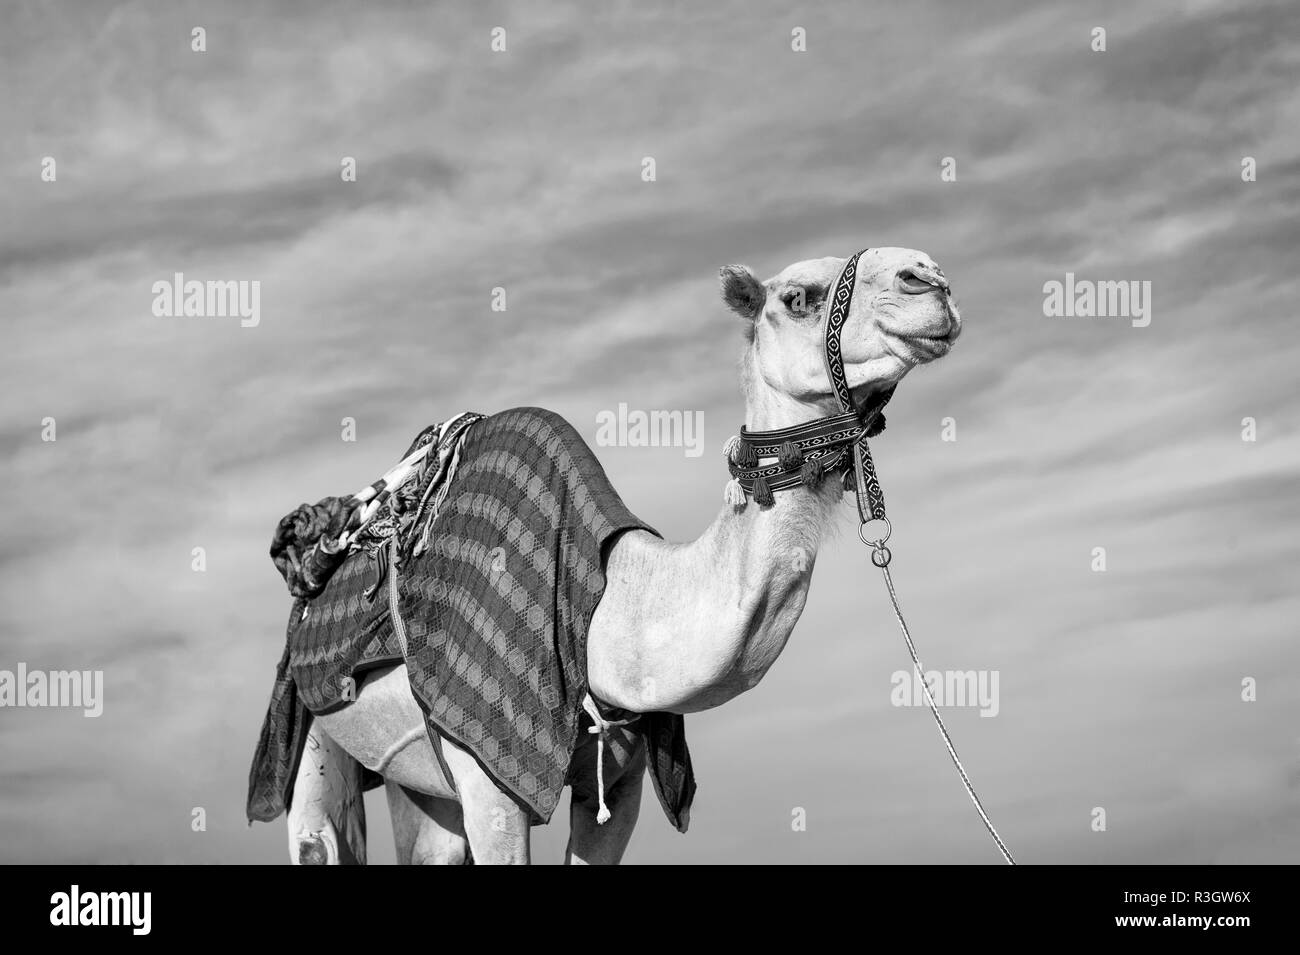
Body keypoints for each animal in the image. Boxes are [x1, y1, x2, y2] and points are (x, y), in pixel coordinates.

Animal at [287, 248, 956, 867]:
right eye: (798, 298)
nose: (929, 277)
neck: (608, 606)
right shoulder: (486, 765)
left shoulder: (624, 775)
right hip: (310, 733)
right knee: (319, 837)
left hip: (419, 783)